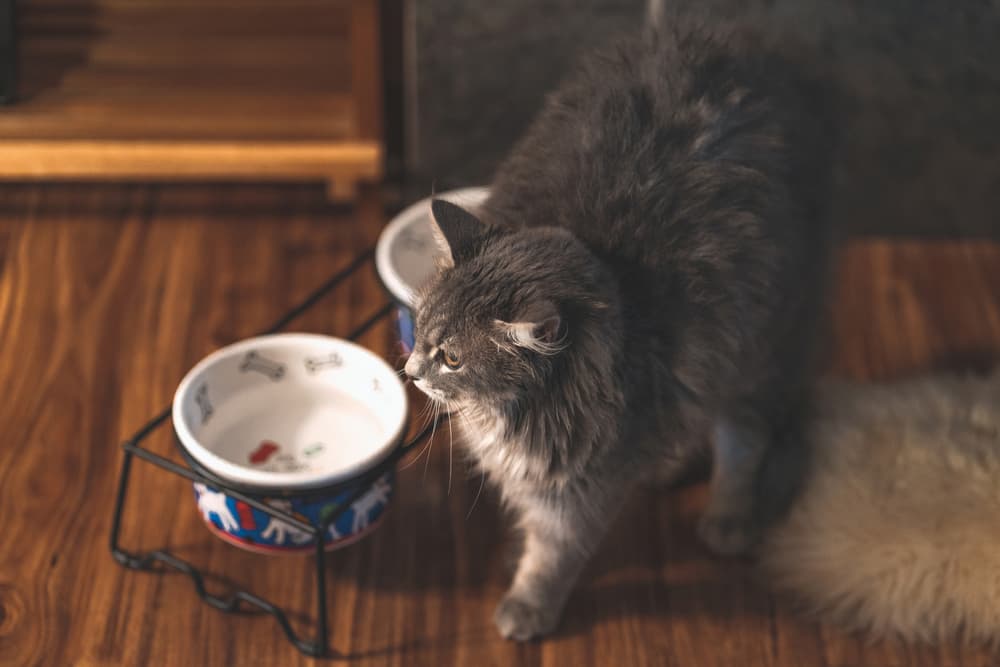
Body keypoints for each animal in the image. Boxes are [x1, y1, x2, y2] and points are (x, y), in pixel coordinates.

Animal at [404, 17, 836, 640]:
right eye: (419, 328)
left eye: (453, 358)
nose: (410, 370)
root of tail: (731, 45)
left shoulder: (579, 487)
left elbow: (553, 554)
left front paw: (526, 606)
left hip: (763, 344)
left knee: (744, 438)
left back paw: (728, 519)